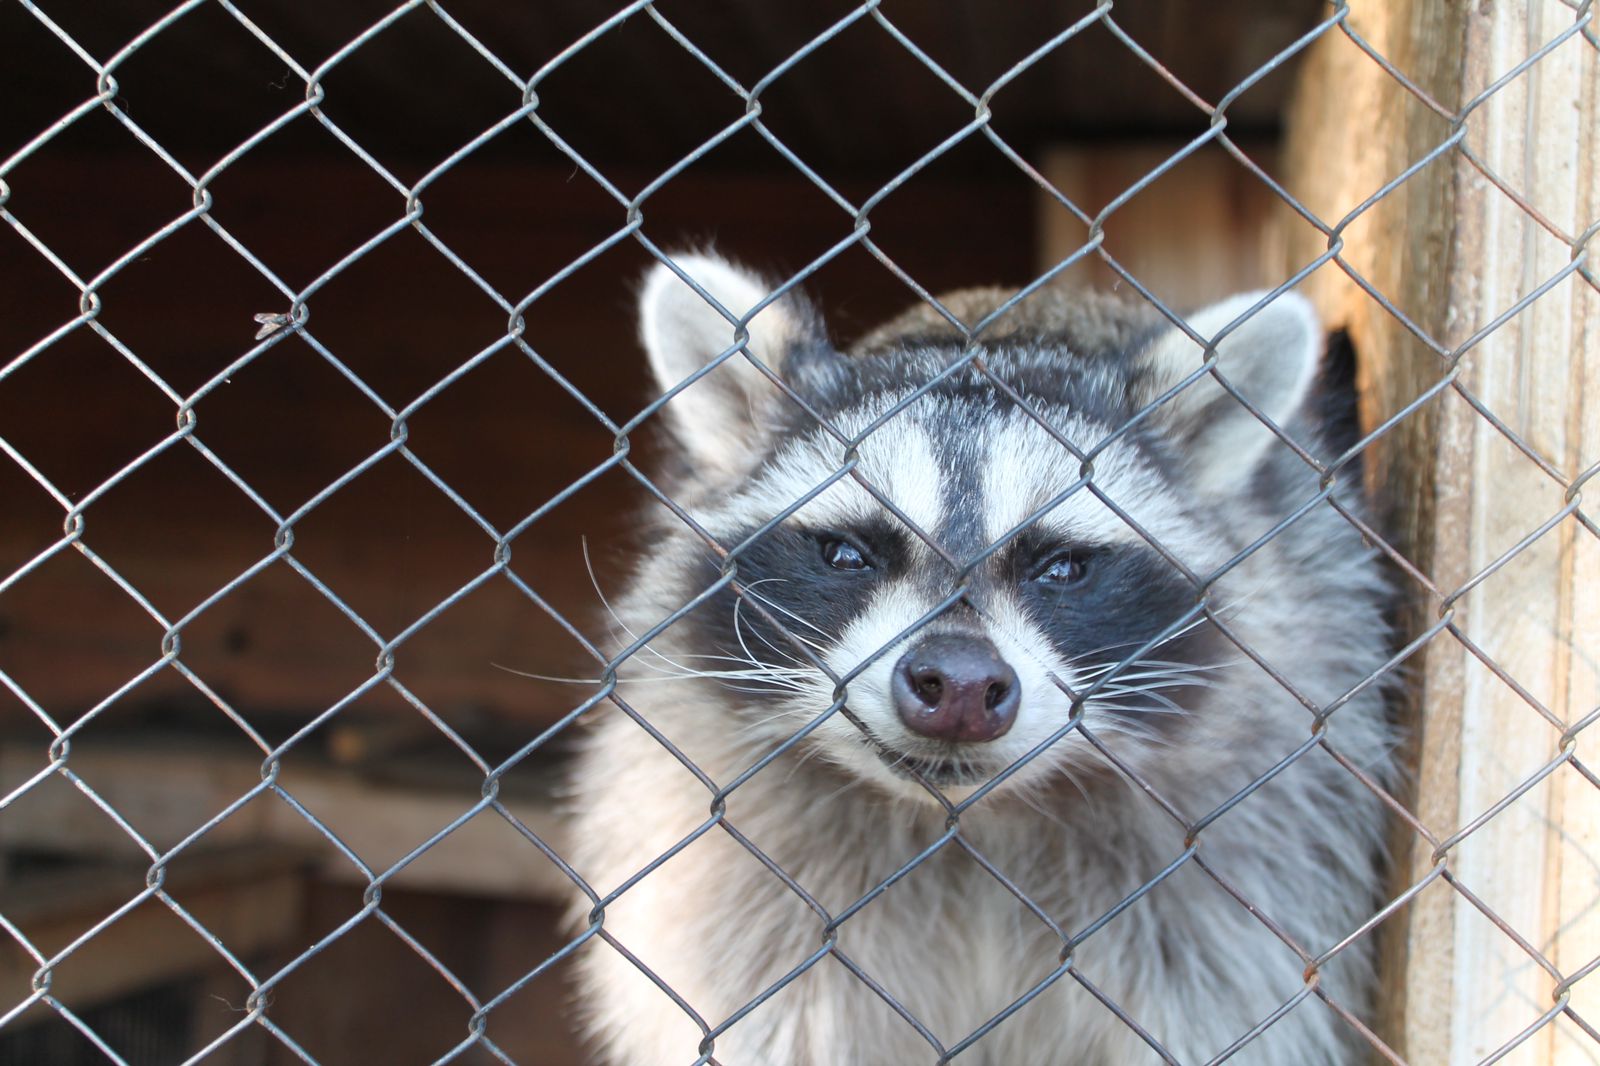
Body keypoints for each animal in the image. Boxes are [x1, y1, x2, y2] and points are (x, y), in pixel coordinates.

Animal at [569, 252, 1395, 1056]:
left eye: (1061, 566)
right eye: (847, 554)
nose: (961, 687)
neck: (974, 822)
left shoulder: (1245, 853)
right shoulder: (732, 872)